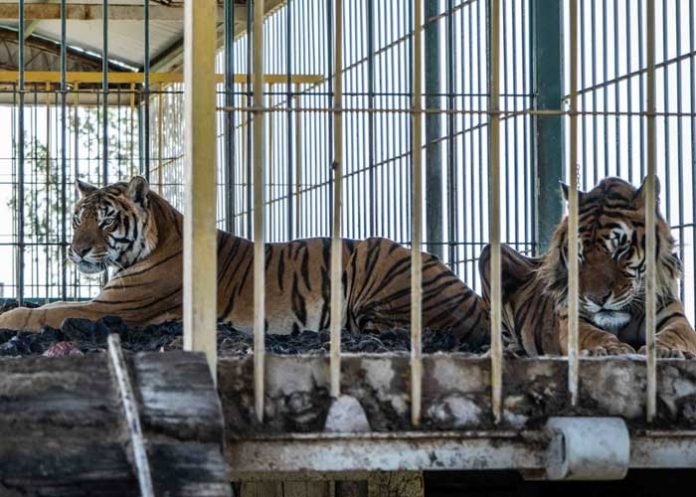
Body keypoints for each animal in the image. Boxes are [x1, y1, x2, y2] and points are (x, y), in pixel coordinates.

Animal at [0, 176, 489, 348]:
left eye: (104, 220)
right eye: (77, 218)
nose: (77, 249)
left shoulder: (113, 307)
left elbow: (45, 312)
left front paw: (9, 318)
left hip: (378, 261)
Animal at [479, 176, 696, 359]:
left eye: (621, 249)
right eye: (579, 253)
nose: (597, 299)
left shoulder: (674, 316)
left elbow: (675, 334)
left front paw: (667, 350)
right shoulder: (572, 318)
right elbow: (593, 335)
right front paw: (608, 348)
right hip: (491, 252)